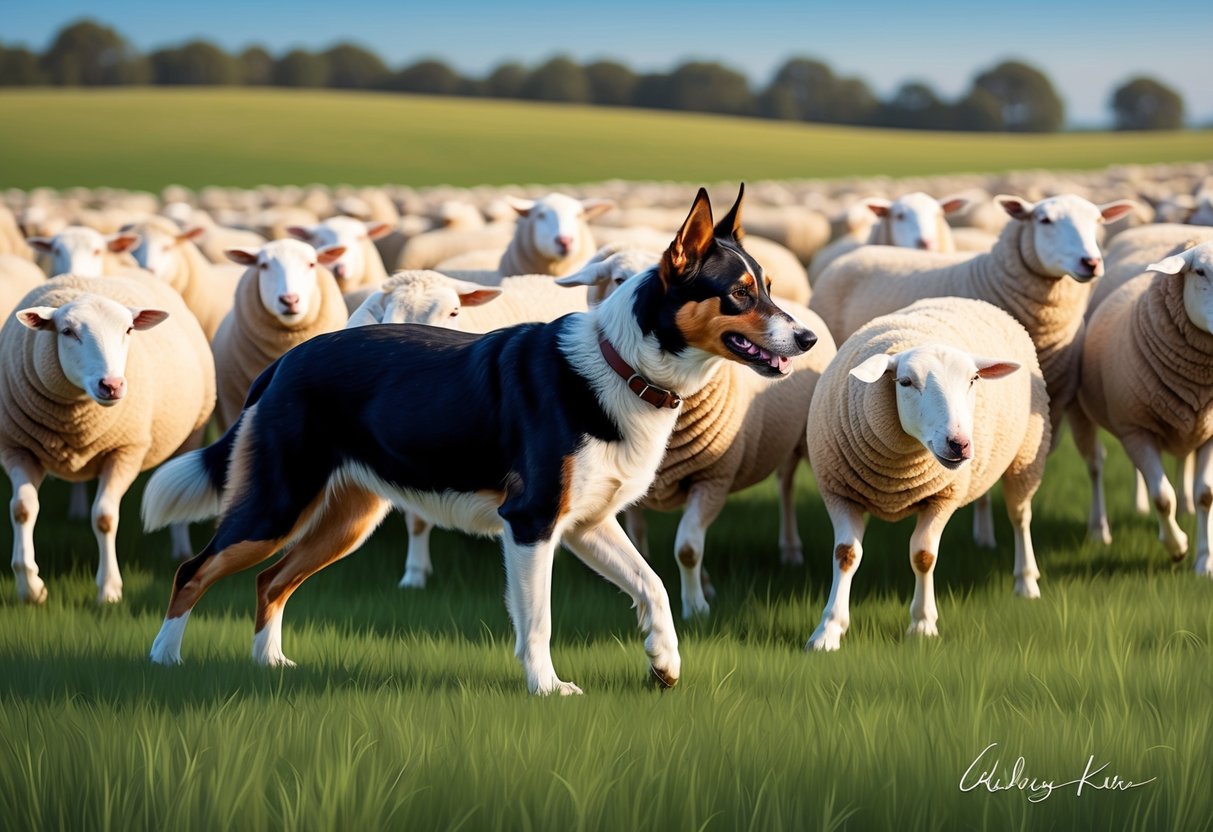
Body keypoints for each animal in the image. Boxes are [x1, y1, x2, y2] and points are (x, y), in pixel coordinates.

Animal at [0, 274, 213, 606]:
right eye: (67, 331)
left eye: (128, 330)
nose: (111, 385)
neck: (77, 420)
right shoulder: (17, 447)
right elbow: (22, 508)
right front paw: (30, 588)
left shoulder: (125, 450)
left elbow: (105, 517)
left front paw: (109, 591)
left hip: (191, 433)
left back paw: (180, 549)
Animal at [805, 298, 1052, 650]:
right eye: (905, 382)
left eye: (973, 380)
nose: (960, 444)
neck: (897, 476)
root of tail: (970, 300)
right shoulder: (839, 491)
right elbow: (846, 555)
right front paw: (828, 631)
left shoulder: (943, 497)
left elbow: (923, 555)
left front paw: (922, 624)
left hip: (1027, 454)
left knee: (1020, 518)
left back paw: (1026, 583)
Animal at [1072, 244, 1213, 577]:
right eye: (1200, 272)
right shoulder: (1137, 431)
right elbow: (1162, 498)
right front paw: (1178, 548)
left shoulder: (1210, 431)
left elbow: (1205, 494)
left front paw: (1205, 561)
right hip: (1083, 412)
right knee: (1095, 466)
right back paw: (1099, 530)